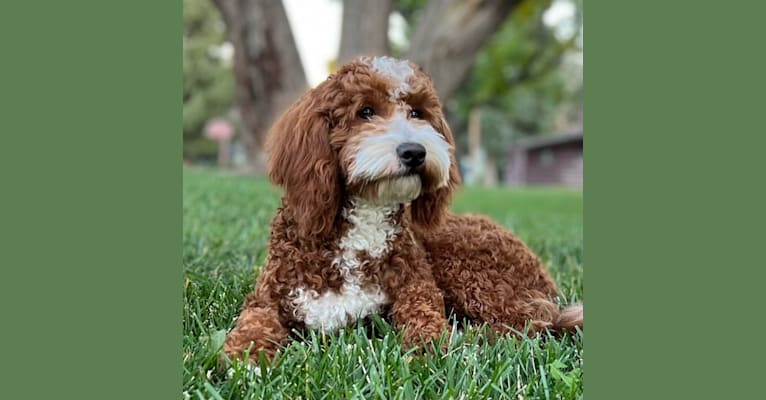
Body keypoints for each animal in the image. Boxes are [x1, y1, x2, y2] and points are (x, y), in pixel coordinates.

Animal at [225, 55, 584, 362]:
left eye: (417, 113)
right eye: (365, 111)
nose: (414, 151)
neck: (366, 218)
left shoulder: (417, 284)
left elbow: (423, 312)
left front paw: (430, 344)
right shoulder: (269, 297)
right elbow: (253, 322)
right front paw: (245, 356)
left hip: (467, 265)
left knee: (529, 321)